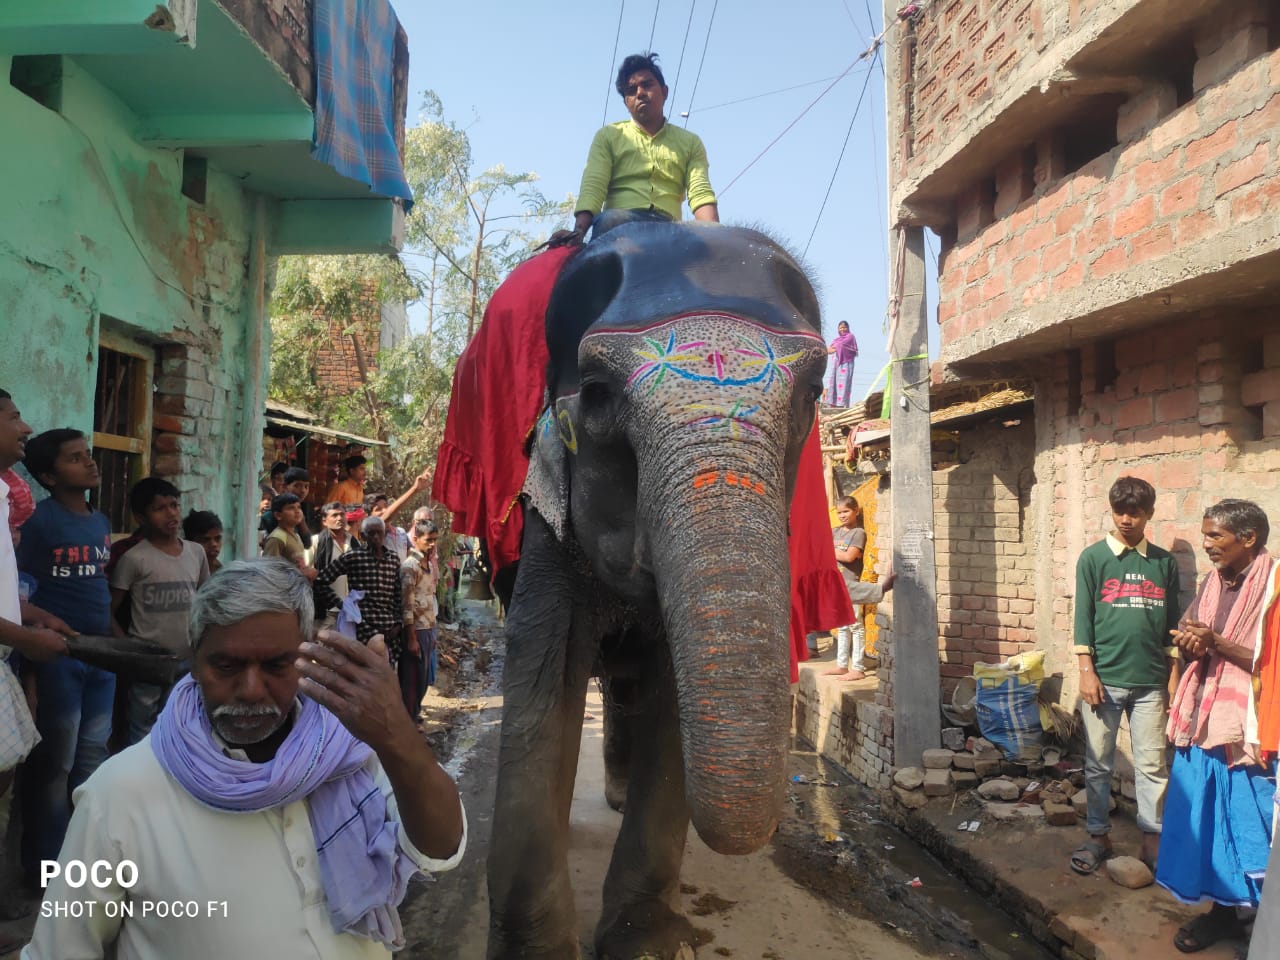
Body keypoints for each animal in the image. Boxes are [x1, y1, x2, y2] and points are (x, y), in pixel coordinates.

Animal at [483, 221, 824, 957]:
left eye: (814, 392)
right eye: (597, 392)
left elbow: (670, 701)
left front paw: (643, 944)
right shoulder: (546, 523)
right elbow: (541, 686)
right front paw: (537, 952)